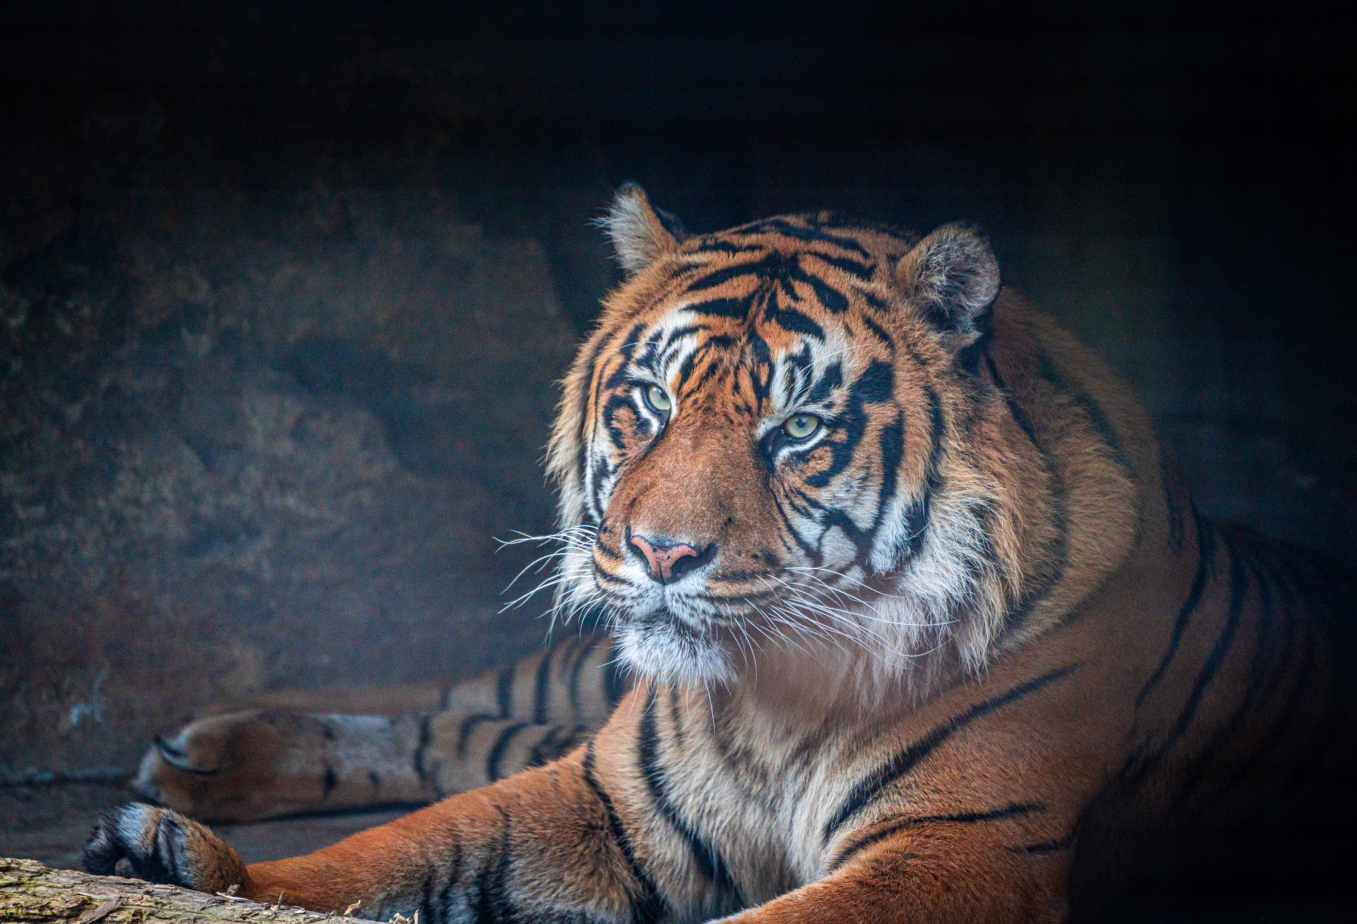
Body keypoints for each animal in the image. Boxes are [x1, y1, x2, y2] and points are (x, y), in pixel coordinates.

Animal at [85, 185, 1357, 922]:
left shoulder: (957, 849)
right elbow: (386, 854)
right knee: (461, 699)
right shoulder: (604, 795)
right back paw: (196, 752)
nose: (658, 553)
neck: (777, 704)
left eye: (793, 429)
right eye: (650, 400)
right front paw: (198, 875)